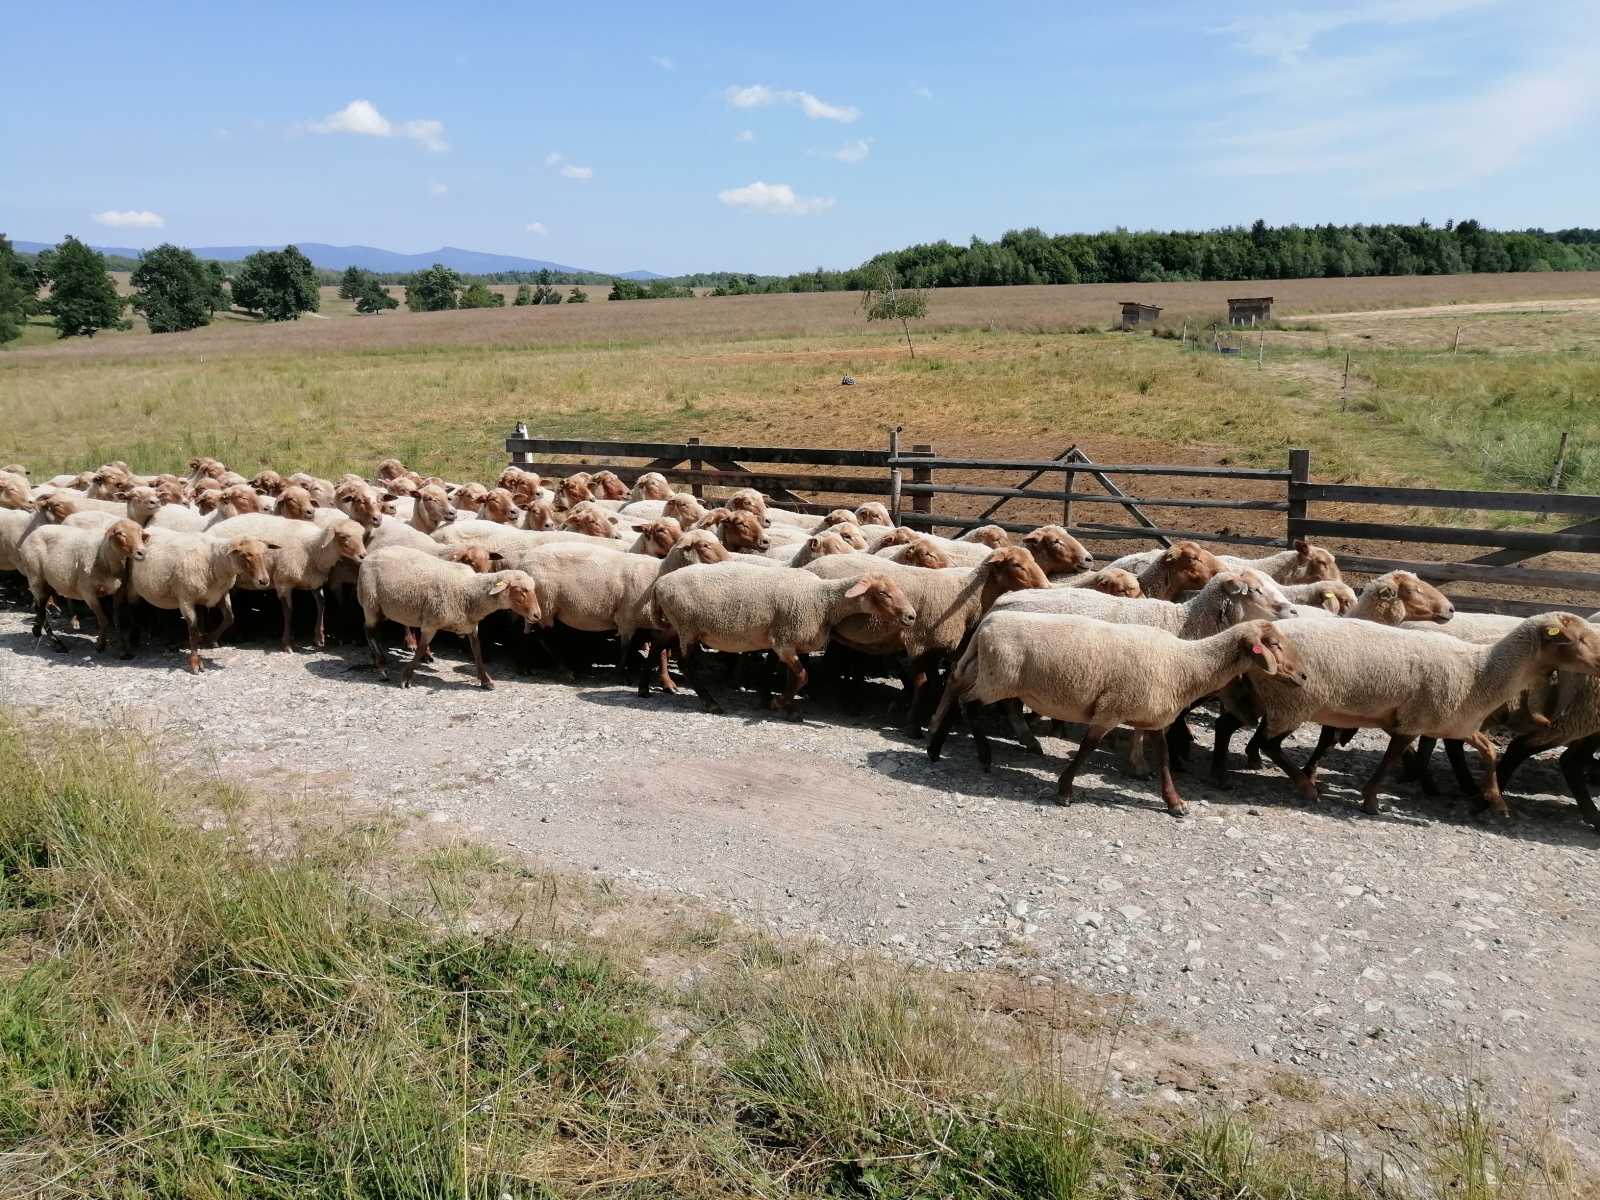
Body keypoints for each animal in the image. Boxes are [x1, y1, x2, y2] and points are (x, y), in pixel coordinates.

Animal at [19, 518, 150, 652]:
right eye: (120, 533)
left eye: (141, 534)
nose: (141, 552)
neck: (103, 556)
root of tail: (34, 531)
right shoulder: (88, 592)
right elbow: (103, 620)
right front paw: (101, 645)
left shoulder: (119, 591)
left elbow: (117, 621)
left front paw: (124, 648)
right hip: (35, 576)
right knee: (41, 609)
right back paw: (55, 641)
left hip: (48, 581)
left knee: (40, 606)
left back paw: (37, 629)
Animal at [206, 515, 366, 652]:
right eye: (344, 537)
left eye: (362, 536)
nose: (363, 555)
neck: (312, 548)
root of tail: (210, 529)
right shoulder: (284, 582)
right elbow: (289, 611)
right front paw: (287, 644)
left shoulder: (314, 581)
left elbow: (321, 604)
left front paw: (319, 638)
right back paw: (217, 638)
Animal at [360, 550, 540, 691]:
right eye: (520, 591)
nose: (537, 615)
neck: (470, 591)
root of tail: (373, 553)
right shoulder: (431, 624)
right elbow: (420, 649)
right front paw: (406, 677)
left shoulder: (470, 626)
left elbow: (477, 651)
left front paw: (486, 680)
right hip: (370, 602)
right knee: (369, 632)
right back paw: (381, 667)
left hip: (382, 608)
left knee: (375, 632)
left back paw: (376, 658)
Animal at [649, 563, 921, 720]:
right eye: (883, 593)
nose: (911, 616)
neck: (822, 600)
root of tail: (659, 583)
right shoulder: (783, 642)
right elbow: (802, 677)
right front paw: (777, 702)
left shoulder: (794, 641)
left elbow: (794, 678)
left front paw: (788, 708)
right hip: (688, 626)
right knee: (685, 663)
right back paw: (709, 702)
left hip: (676, 625)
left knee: (657, 644)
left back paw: (651, 685)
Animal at [1241, 614, 1600, 825]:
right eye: (1576, 639)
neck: (1480, 672)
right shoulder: (1415, 719)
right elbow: (1390, 760)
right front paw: (1371, 800)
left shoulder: (1455, 723)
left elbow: (1490, 752)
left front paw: (1495, 800)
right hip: (1293, 702)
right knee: (1269, 744)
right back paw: (1304, 785)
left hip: (1277, 701)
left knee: (1259, 737)